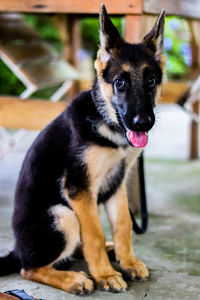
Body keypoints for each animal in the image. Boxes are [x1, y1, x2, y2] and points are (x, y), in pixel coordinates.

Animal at [0, 4, 166, 296]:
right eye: (120, 83)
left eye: (151, 81)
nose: (142, 123)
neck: (107, 125)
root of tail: (16, 250)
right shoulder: (79, 188)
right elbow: (95, 234)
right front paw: (105, 275)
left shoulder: (116, 184)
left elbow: (123, 225)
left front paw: (128, 261)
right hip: (63, 215)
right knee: (29, 268)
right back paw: (74, 279)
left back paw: (110, 254)